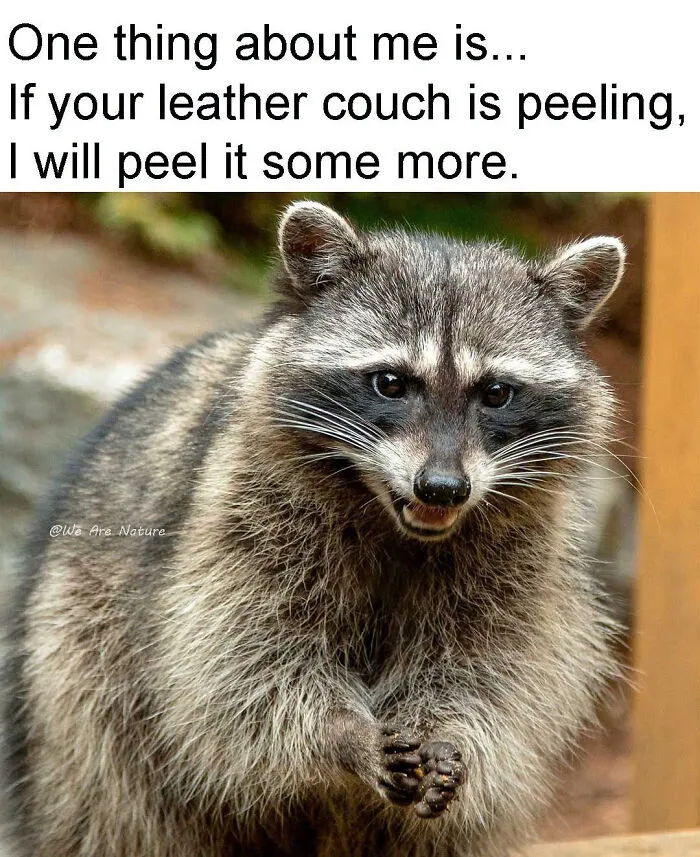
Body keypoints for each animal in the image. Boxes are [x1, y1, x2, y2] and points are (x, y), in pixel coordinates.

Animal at [3, 202, 625, 857]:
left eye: (497, 393)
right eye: (391, 383)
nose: (442, 488)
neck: (394, 519)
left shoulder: (520, 554)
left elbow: (488, 670)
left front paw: (449, 730)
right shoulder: (242, 517)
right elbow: (245, 666)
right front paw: (342, 735)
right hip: (79, 686)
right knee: (119, 802)